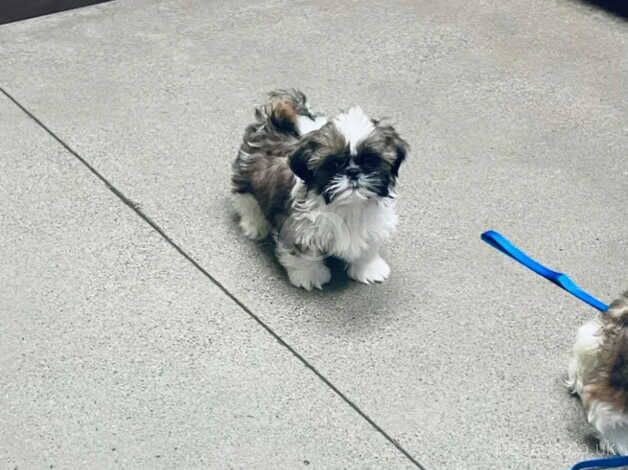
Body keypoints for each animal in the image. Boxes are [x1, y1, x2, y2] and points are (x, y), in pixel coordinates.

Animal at [231, 89, 408, 290]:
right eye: (334, 164)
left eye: (370, 161)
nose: (353, 172)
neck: (348, 205)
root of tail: (274, 122)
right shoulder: (298, 227)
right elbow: (305, 255)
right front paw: (310, 276)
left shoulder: (372, 224)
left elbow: (368, 247)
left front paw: (369, 268)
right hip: (246, 176)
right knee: (246, 201)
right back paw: (255, 225)